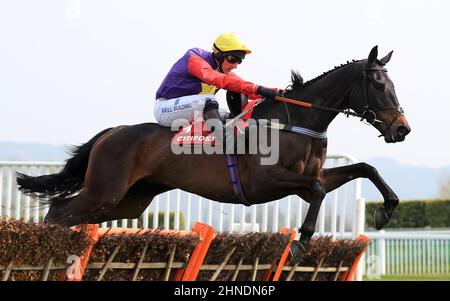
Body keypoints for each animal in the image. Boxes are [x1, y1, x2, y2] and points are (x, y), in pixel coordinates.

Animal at [17, 46, 412, 260]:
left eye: (394, 84)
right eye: (379, 85)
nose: (402, 129)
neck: (295, 120)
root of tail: (111, 132)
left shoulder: (309, 178)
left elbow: (364, 169)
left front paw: (386, 210)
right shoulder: (267, 181)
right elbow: (317, 192)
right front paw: (300, 243)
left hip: (129, 200)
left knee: (69, 215)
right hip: (105, 190)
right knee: (57, 211)